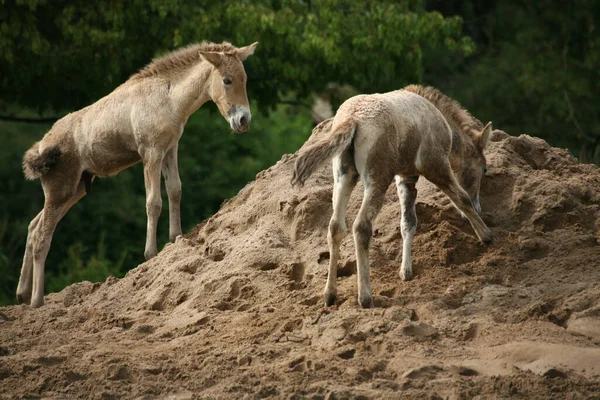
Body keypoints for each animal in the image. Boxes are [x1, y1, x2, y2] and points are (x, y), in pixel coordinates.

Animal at [18, 40, 258, 308]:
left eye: (245, 79)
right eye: (227, 80)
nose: (244, 120)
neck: (170, 98)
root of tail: (41, 147)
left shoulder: (171, 148)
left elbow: (175, 189)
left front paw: (175, 237)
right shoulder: (151, 152)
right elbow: (154, 202)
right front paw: (150, 253)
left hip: (75, 189)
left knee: (33, 226)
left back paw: (22, 294)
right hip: (61, 189)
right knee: (41, 235)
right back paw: (36, 300)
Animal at [290, 85, 492, 310]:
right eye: (484, 169)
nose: (479, 206)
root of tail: (352, 118)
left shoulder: (406, 178)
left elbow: (408, 222)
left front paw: (406, 271)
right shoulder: (435, 165)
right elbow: (461, 198)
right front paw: (486, 235)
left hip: (344, 176)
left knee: (335, 227)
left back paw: (330, 295)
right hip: (377, 179)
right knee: (361, 226)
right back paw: (365, 297)